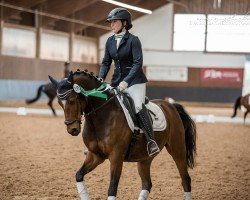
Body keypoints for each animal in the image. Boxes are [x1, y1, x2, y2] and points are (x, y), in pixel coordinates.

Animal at [49, 69, 197, 199]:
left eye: (72, 100)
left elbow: (112, 188)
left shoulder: (116, 157)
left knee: (185, 180)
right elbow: (79, 175)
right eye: (59, 103)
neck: (102, 116)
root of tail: (171, 106)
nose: (72, 129)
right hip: (145, 158)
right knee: (147, 184)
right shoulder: (95, 155)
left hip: (178, 150)